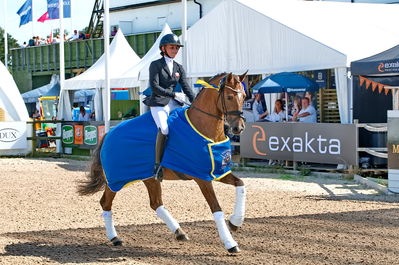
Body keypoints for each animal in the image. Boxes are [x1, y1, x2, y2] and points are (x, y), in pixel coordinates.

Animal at [76, 71, 248, 253]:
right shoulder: (202, 178)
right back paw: (115, 238)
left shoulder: (219, 172)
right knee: (106, 203)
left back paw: (179, 232)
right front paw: (230, 243)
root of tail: (108, 133)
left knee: (156, 203)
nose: (238, 128)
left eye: (244, 96)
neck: (205, 129)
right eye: (229, 96)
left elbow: (241, 185)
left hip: (149, 178)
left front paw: (235, 222)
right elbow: (216, 209)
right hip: (116, 179)